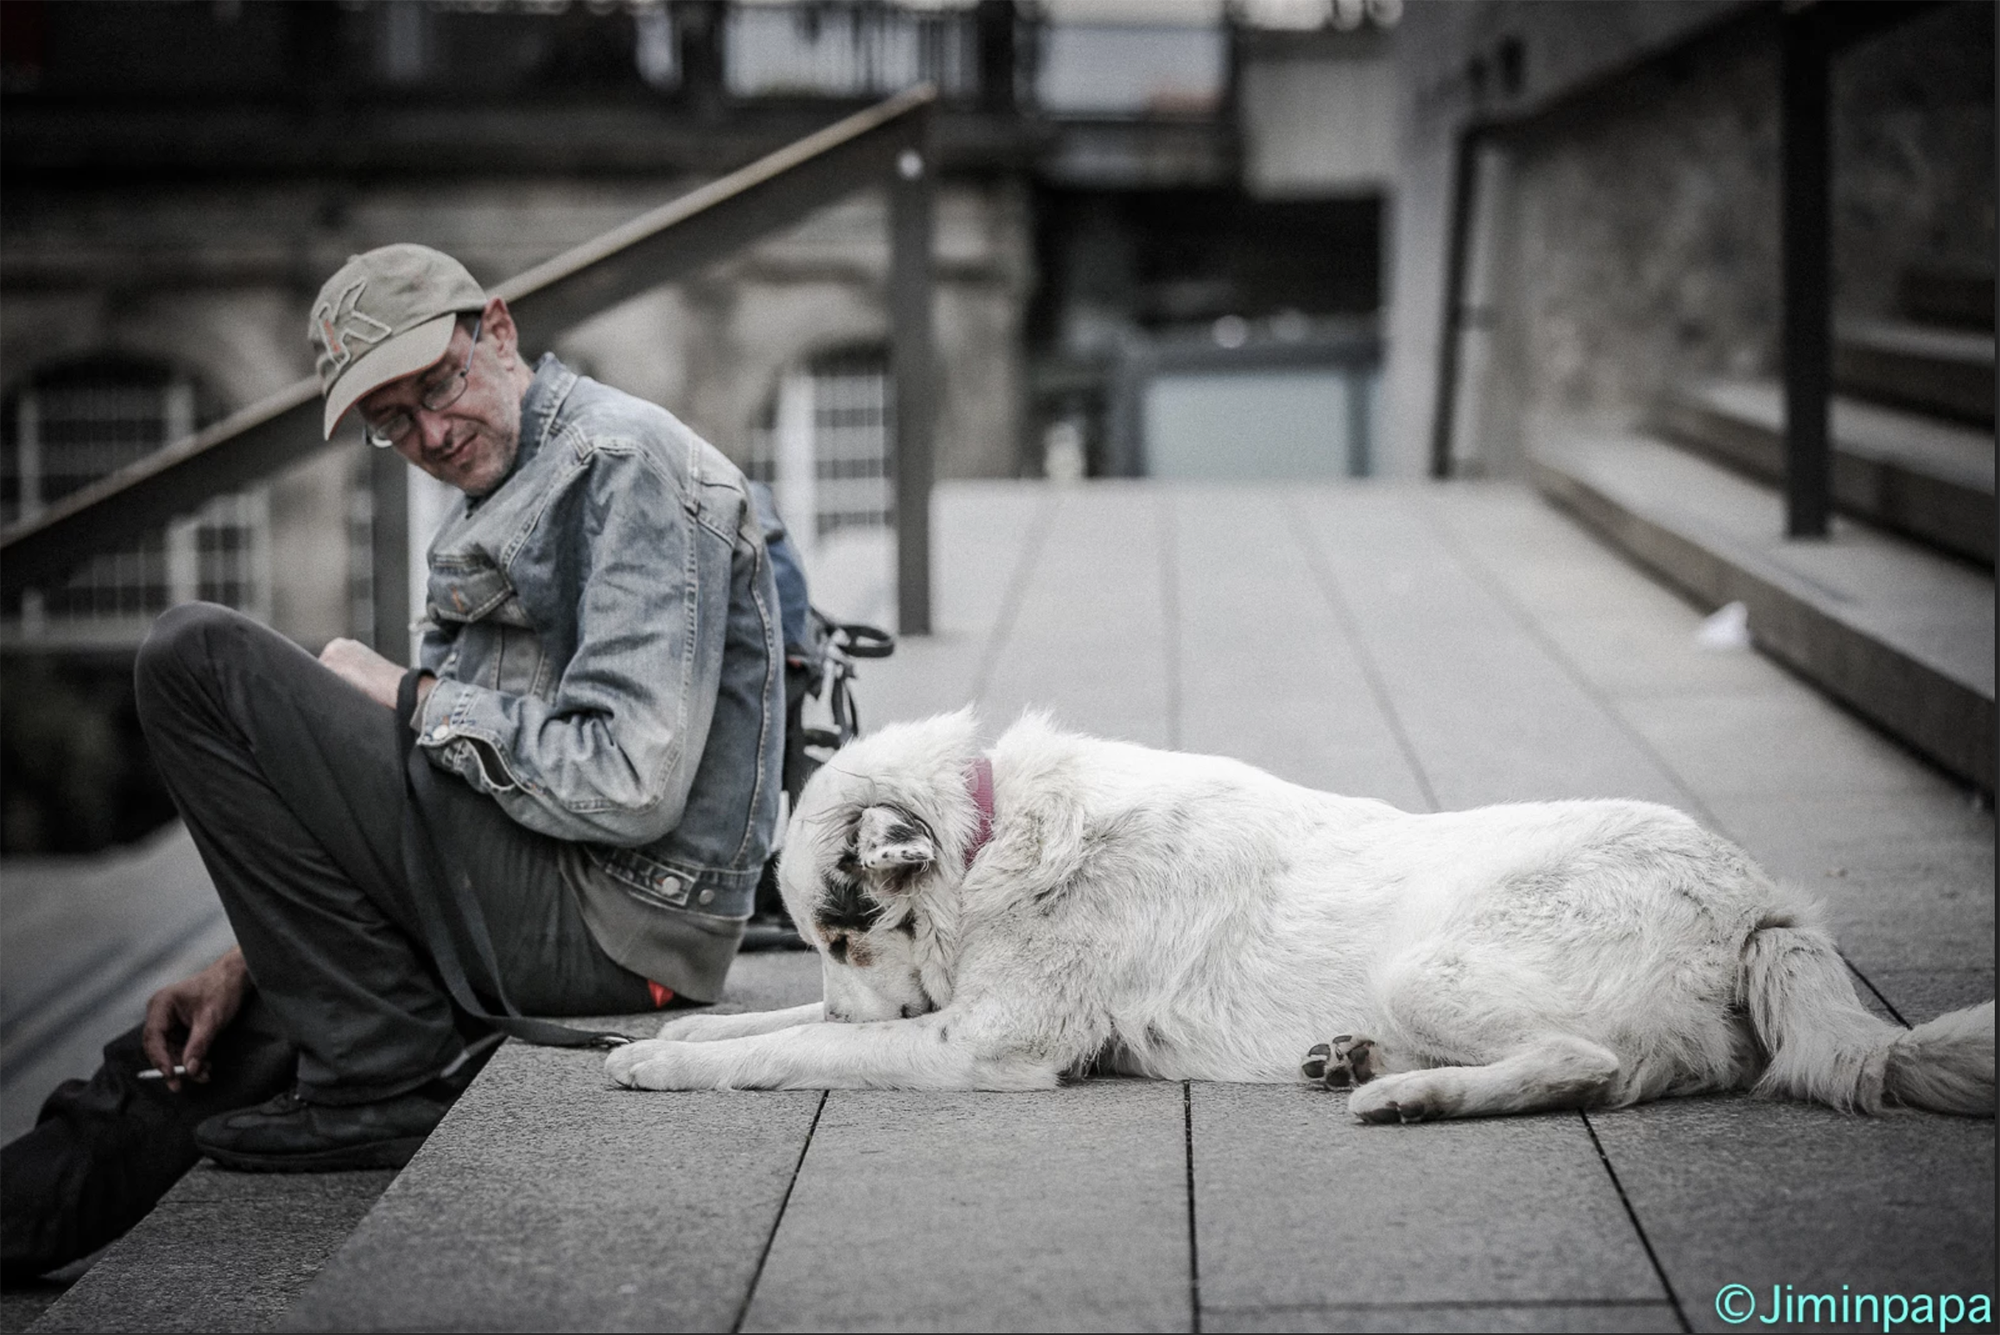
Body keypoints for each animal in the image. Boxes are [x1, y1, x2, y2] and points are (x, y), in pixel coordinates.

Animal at [600, 715, 1992, 1119]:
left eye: (843, 935)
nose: (844, 971)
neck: (1004, 842)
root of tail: (1760, 902)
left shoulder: (985, 1046)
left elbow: (805, 1044)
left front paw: (663, 1066)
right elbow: (773, 1026)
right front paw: (673, 1038)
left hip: (1435, 962)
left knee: (1587, 1066)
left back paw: (1405, 1093)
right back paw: (1354, 1061)